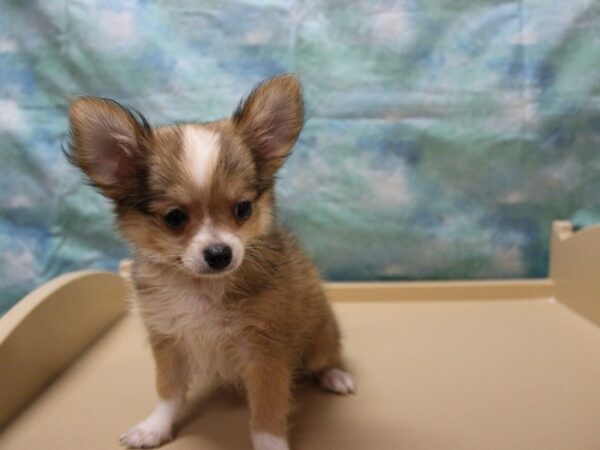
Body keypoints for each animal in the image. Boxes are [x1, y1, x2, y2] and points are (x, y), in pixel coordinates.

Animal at [68, 74, 354, 450]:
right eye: (174, 217)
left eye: (243, 209)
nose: (220, 254)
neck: (202, 288)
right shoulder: (169, 342)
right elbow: (168, 393)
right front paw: (155, 427)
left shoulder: (266, 354)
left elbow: (266, 416)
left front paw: (270, 446)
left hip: (320, 338)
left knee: (324, 360)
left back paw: (335, 376)